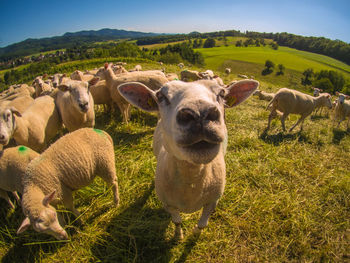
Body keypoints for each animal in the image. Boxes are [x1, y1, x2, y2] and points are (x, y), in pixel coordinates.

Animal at [119, 79, 258, 240]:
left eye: (222, 93)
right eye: (161, 96)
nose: (199, 113)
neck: (192, 177)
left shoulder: (212, 201)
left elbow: (203, 224)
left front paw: (195, 235)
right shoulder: (169, 205)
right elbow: (177, 221)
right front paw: (179, 236)